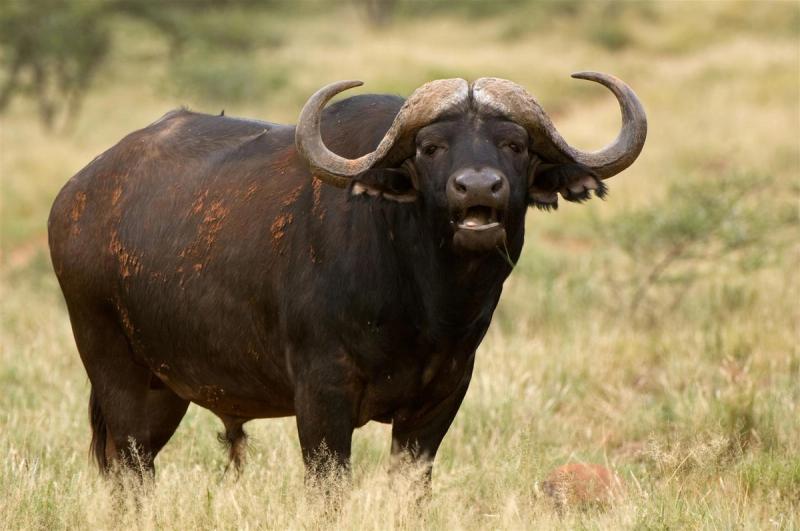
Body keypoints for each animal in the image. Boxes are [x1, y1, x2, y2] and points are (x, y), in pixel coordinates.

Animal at [48, 72, 646, 485]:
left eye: (514, 145)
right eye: (431, 147)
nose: (478, 187)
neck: (425, 306)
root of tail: (76, 195)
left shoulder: (441, 401)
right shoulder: (321, 399)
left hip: (166, 388)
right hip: (114, 368)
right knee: (128, 470)